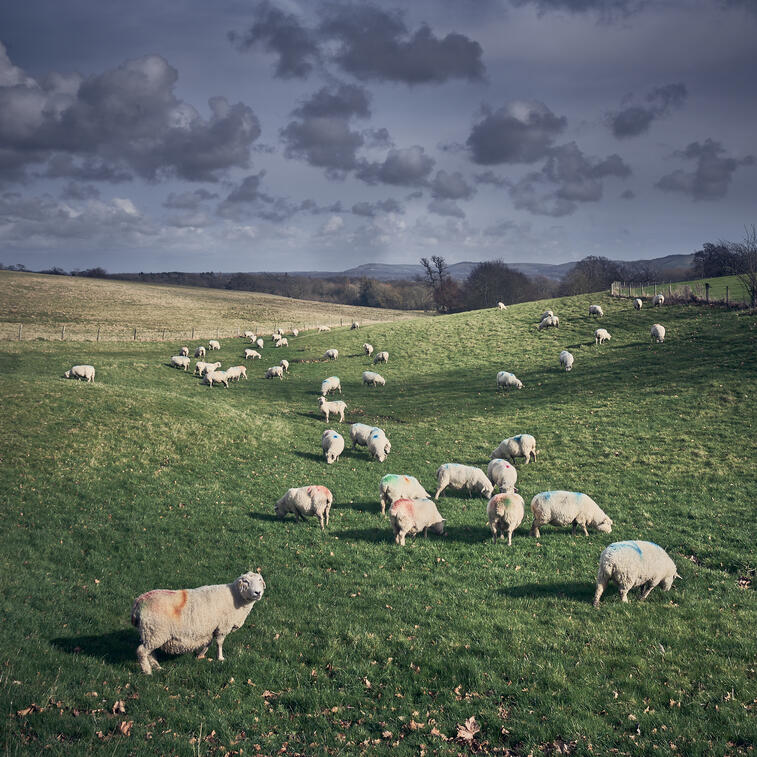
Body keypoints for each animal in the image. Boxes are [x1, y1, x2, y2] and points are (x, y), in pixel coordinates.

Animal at [131, 571, 265, 675]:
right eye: (246, 582)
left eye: (260, 580)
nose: (257, 592)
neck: (236, 597)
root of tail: (138, 602)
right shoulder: (223, 626)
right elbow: (219, 643)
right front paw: (220, 658)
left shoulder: (212, 628)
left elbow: (209, 642)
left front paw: (200, 655)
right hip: (155, 632)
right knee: (141, 651)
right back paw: (147, 671)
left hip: (151, 634)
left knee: (150, 652)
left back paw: (157, 667)